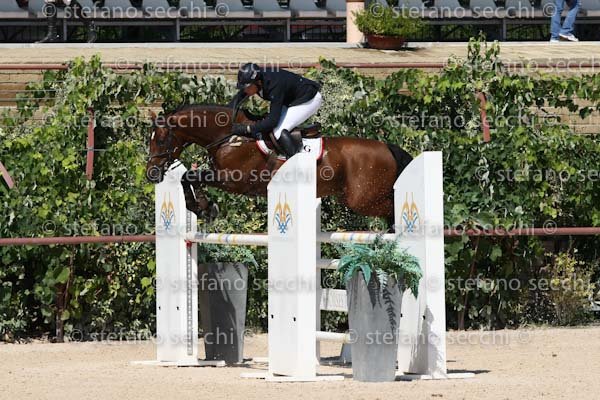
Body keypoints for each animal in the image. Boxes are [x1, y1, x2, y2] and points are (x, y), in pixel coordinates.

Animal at [146, 104, 413, 220]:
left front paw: (202, 206)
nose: (151, 173)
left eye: (160, 139)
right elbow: (188, 177)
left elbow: (190, 176)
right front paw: (202, 207)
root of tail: (387, 147)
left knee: (392, 209)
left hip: (363, 199)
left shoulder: (232, 181)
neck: (229, 137)